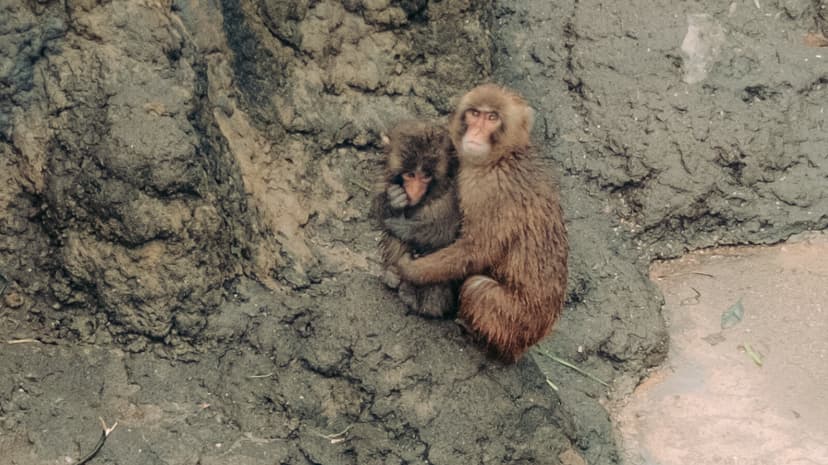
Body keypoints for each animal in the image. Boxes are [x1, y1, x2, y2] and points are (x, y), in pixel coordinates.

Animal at [373, 120, 462, 318]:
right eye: (410, 175)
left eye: (426, 176)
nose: (414, 191)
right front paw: (393, 202)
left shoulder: (454, 192)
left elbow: (443, 231)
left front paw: (398, 224)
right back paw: (391, 275)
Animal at [394, 84, 569, 362]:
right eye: (475, 113)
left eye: (492, 117)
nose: (475, 132)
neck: (502, 157)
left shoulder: (489, 191)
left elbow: (476, 249)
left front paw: (410, 269)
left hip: (514, 324)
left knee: (478, 288)